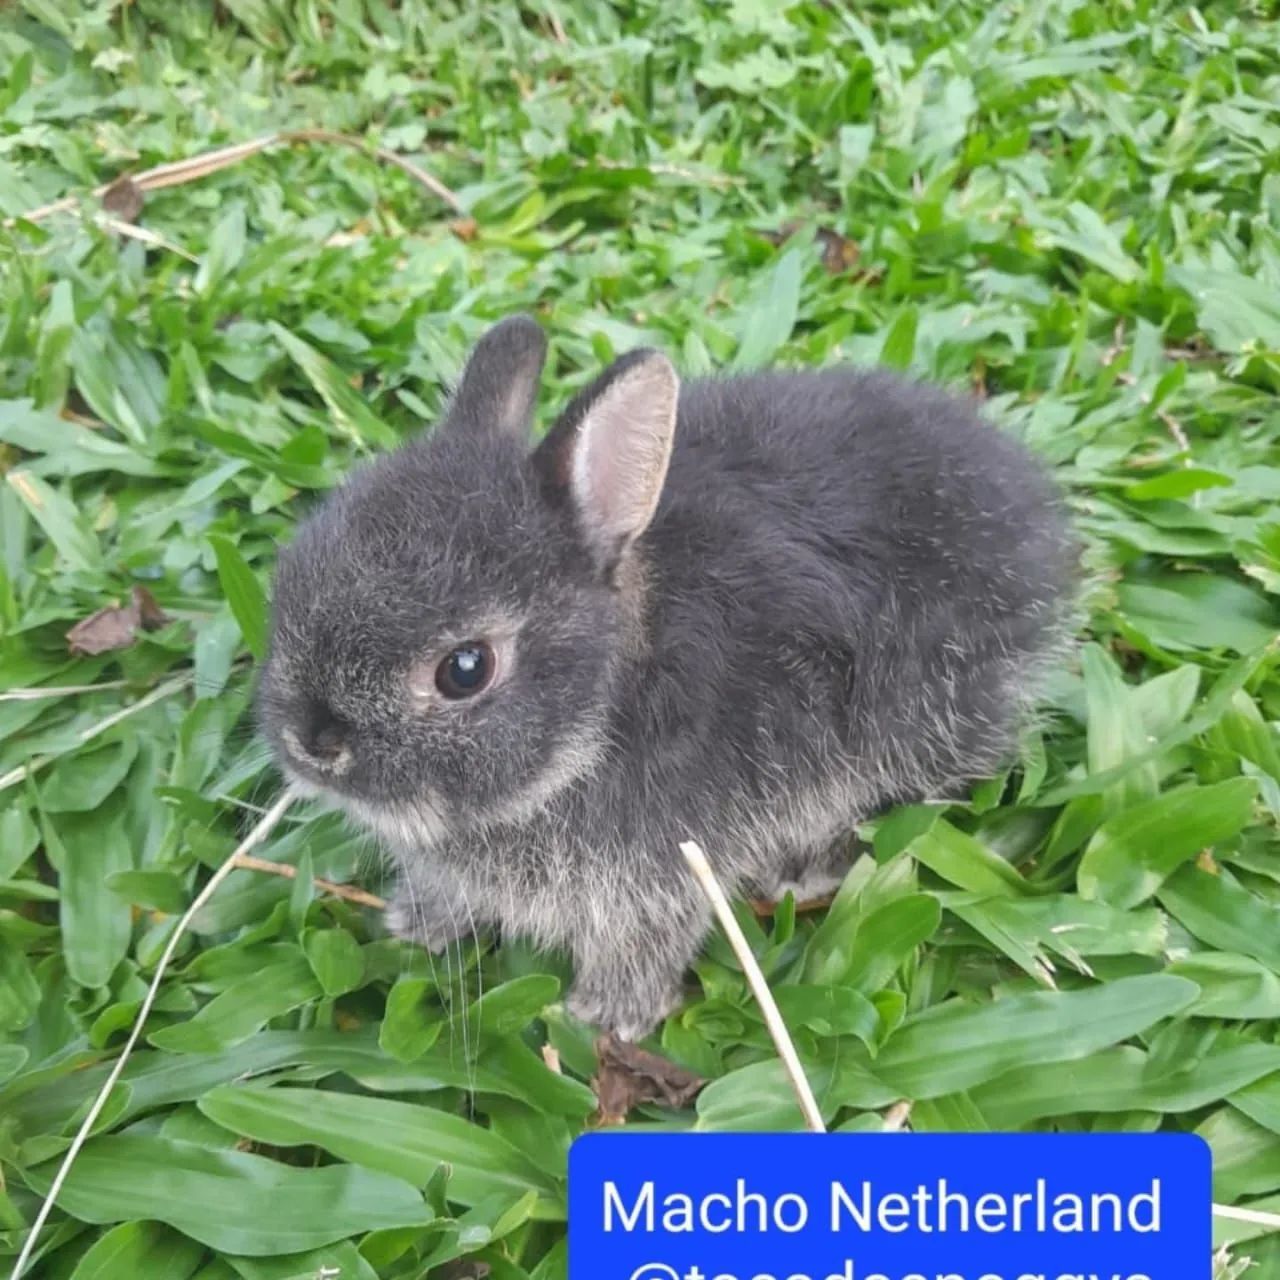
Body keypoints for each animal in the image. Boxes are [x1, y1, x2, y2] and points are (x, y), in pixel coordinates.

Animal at [258, 314, 1076, 1041]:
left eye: (465, 669)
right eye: (292, 569)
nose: (311, 743)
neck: (602, 708)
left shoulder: (659, 876)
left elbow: (647, 941)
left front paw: (606, 1019)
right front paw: (415, 924)